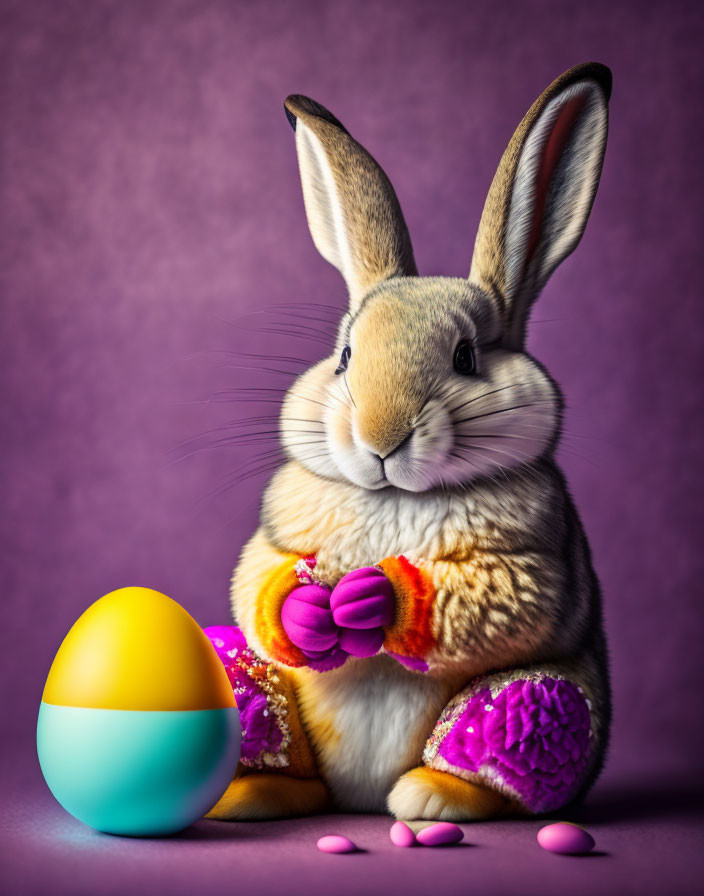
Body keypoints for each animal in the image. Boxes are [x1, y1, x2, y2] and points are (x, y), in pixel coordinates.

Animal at [206, 59, 612, 824]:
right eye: (343, 356)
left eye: (465, 357)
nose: (379, 437)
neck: (396, 494)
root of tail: (355, 798)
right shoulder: (274, 541)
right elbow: (259, 580)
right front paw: (309, 609)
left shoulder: (528, 565)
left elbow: (491, 598)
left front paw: (374, 599)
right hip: (239, 675)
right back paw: (255, 793)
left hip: (542, 698)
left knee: (503, 740)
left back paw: (430, 796)